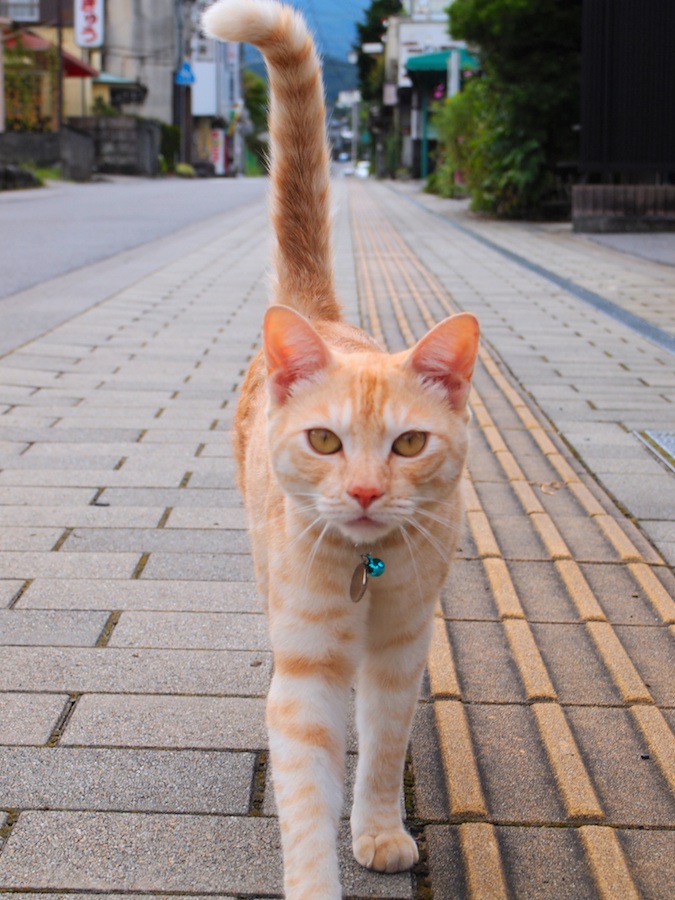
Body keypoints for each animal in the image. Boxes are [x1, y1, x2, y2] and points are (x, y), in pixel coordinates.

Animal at [205, 3, 480, 896]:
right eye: (324, 441)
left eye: (408, 443)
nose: (361, 493)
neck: (367, 571)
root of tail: (319, 314)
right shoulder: (306, 673)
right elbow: (303, 800)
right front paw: (318, 873)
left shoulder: (401, 653)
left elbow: (384, 750)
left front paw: (380, 831)